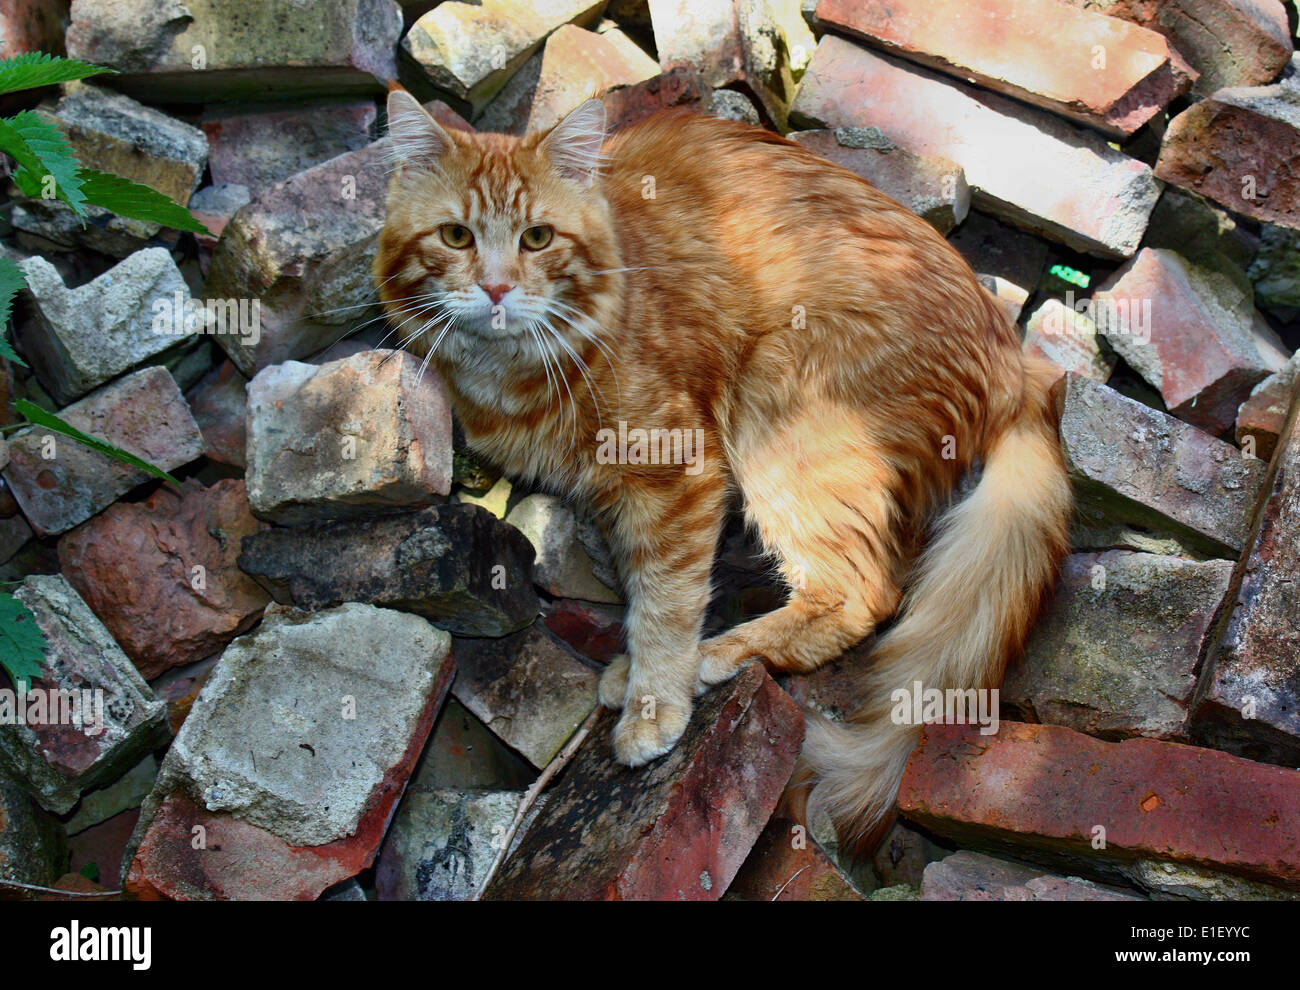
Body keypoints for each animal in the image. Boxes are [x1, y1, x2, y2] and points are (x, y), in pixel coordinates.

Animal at [374, 88, 1066, 852]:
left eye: (537, 239)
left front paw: (654, 703)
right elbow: (640, 586)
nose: (496, 288)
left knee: (866, 592)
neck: (514, 375)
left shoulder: (678, 474)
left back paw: (718, 655)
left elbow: (665, 602)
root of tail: (1017, 362)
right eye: (456, 237)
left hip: (778, 399)